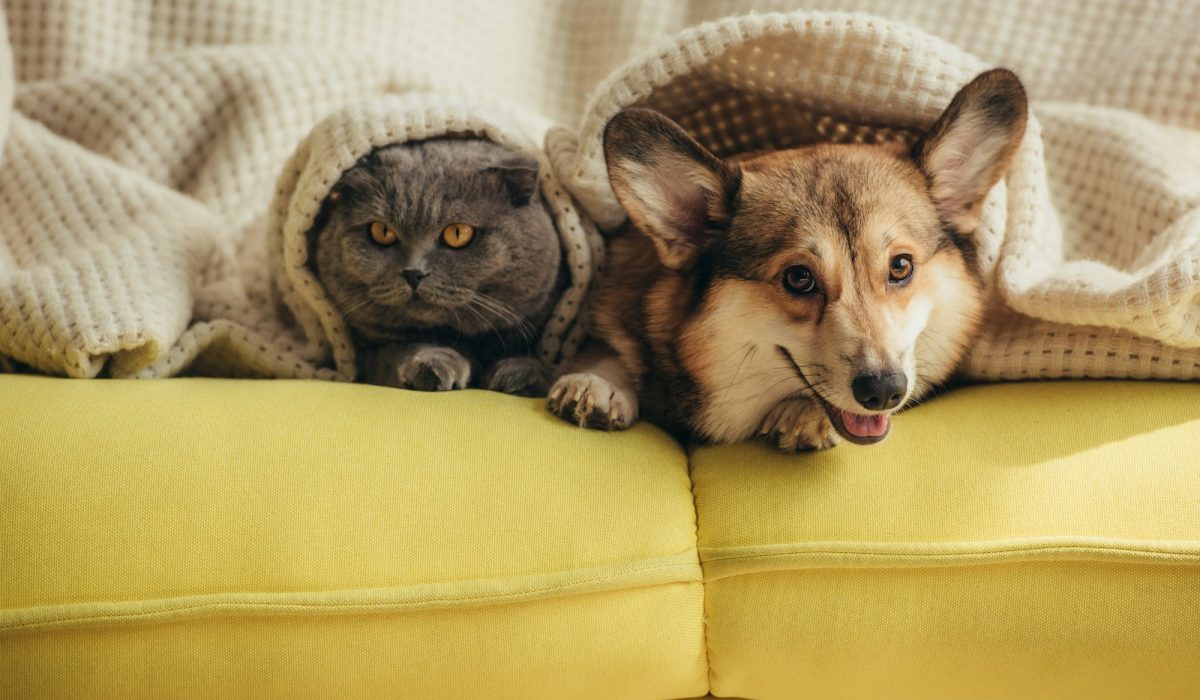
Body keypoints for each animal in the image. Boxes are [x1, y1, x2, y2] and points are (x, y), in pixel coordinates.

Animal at [314, 139, 566, 396]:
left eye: (458, 233)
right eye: (382, 231)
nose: (413, 273)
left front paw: (521, 375)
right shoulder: (367, 352)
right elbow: (396, 350)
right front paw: (433, 364)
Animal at [549, 69, 1027, 449]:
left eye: (901, 267)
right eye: (799, 278)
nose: (885, 391)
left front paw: (803, 414)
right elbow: (610, 348)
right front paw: (597, 382)